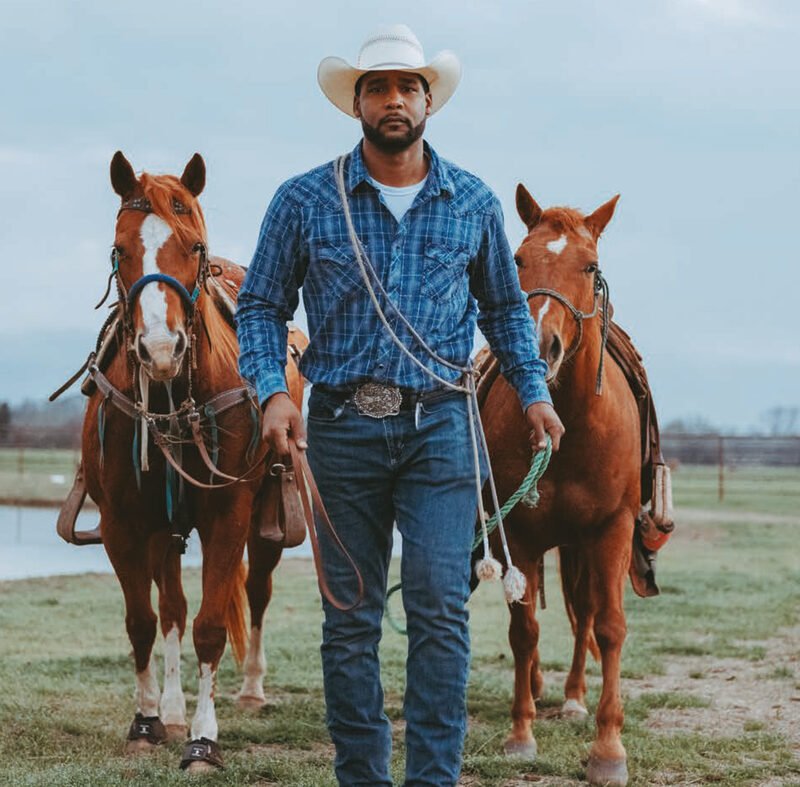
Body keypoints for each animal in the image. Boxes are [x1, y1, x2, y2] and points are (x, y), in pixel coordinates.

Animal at [81, 152, 304, 768]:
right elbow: (144, 621)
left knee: (256, 593)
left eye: (194, 246)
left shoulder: (228, 516)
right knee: (173, 610)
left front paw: (204, 739)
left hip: (266, 518)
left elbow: (210, 626)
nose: (161, 349)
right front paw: (148, 720)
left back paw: (250, 688)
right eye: (120, 248)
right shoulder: (124, 524)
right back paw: (174, 707)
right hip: (165, 528)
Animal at [482, 186, 636, 787]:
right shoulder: (520, 534)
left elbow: (610, 627)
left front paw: (608, 749)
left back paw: (573, 698)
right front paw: (520, 734)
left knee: (587, 613)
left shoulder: (612, 529)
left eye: (589, 266)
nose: (541, 346)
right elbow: (523, 630)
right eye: (517, 260)